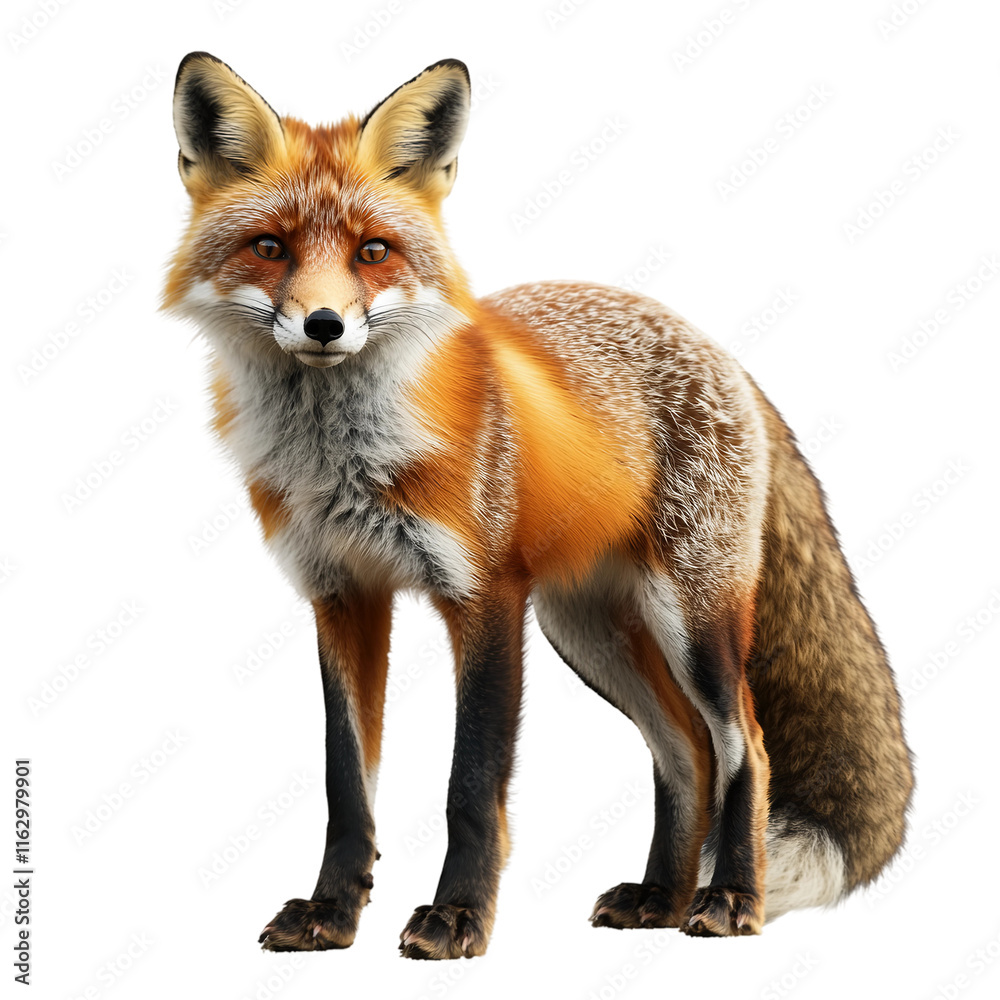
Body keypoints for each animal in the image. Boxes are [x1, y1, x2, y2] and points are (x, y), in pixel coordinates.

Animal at [163, 52, 914, 959]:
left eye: (373, 251)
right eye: (269, 248)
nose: (324, 324)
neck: (342, 459)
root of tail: (717, 349)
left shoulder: (485, 595)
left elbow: (471, 786)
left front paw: (456, 918)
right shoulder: (343, 594)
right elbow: (348, 785)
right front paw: (332, 915)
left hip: (691, 619)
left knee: (746, 747)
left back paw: (730, 898)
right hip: (589, 632)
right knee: (686, 752)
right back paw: (659, 898)